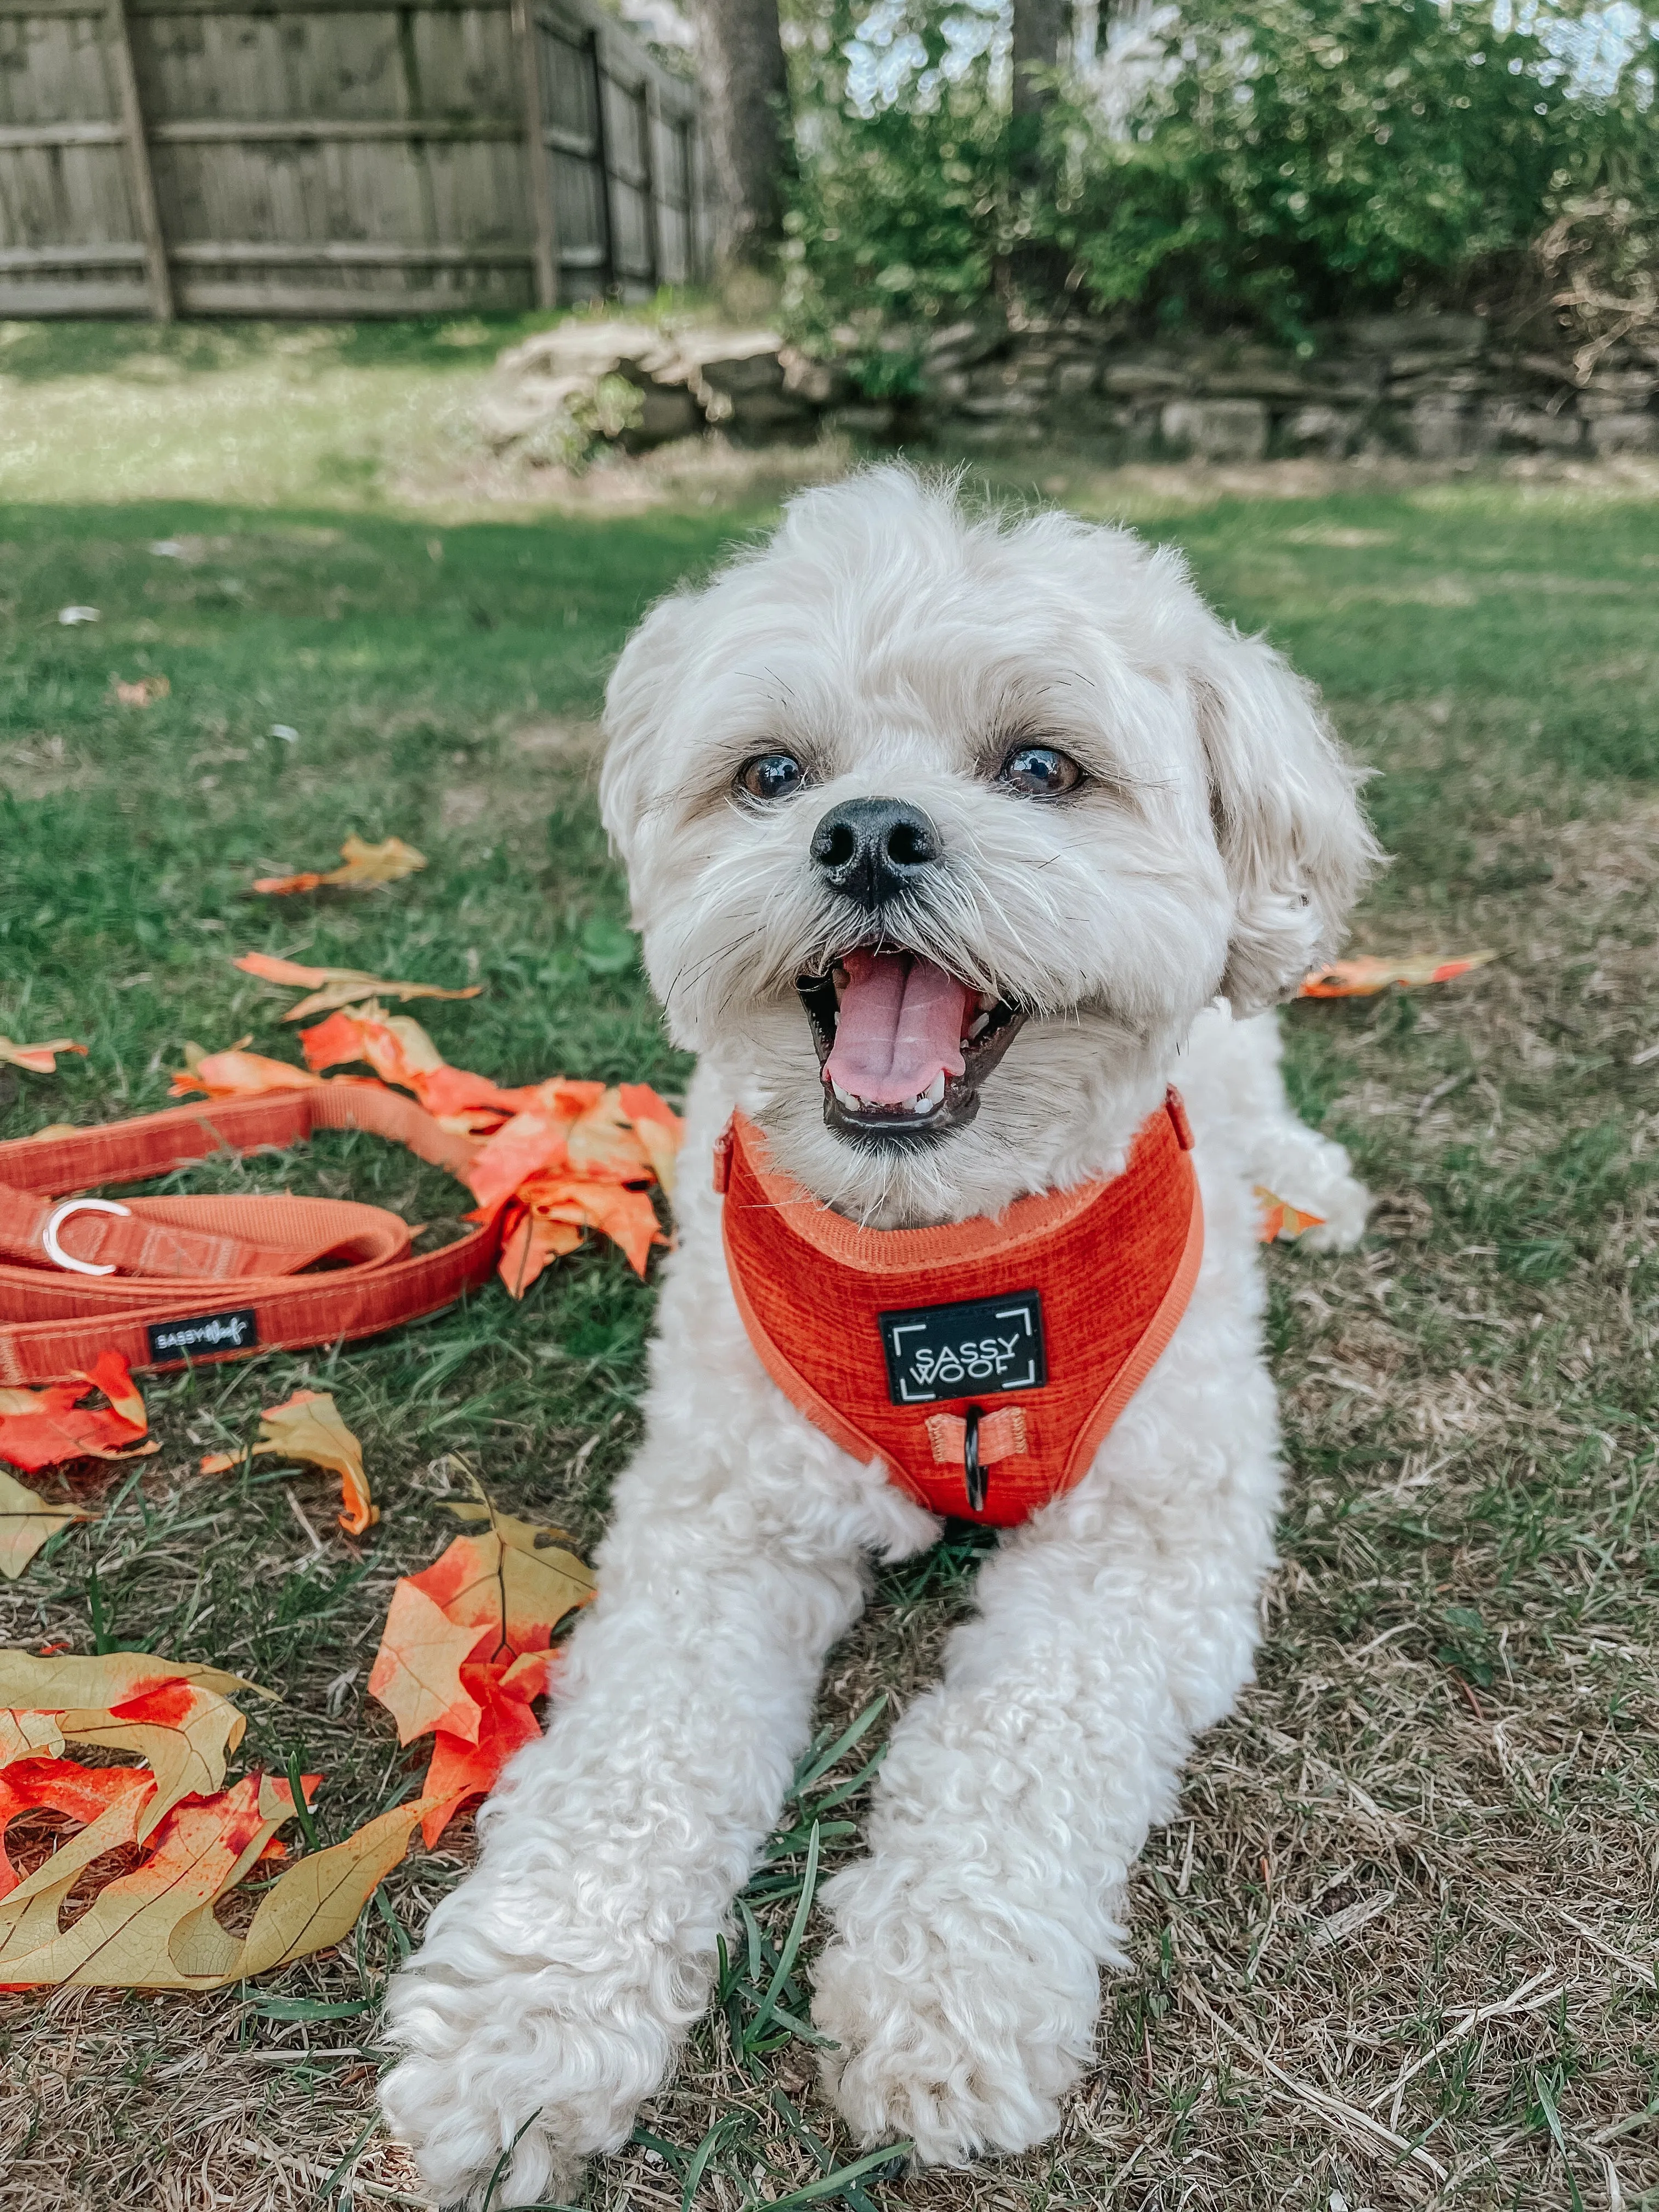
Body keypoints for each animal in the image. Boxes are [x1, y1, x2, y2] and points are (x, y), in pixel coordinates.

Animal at [382, 471, 1380, 2212]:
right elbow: (630, 1764)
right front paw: (524, 2019)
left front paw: (949, 2002)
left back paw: (1308, 1190)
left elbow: (1016, 1749)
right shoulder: (721, 1529)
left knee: (1262, 1099)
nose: (865, 832)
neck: (943, 1255)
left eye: (1042, 766)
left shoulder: (1145, 1549)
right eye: (773, 773)